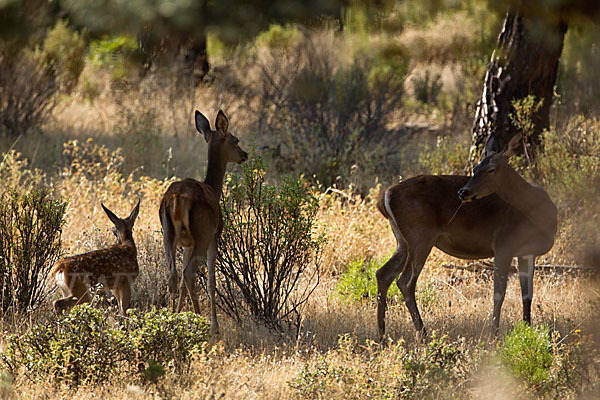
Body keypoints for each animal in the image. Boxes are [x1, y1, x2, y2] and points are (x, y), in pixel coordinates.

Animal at [159, 109, 248, 334]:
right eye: (235, 139)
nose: (244, 154)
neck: (213, 189)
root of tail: (177, 199)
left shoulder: (186, 243)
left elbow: (182, 280)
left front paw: (178, 314)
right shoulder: (214, 236)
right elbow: (211, 281)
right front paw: (214, 325)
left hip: (169, 234)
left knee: (174, 275)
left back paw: (172, 320)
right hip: (203, 234)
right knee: (190, 273)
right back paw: (202, 322)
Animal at [376, 135, 556, 340]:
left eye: (490, 169)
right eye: (475, 168)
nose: (463, 192)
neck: (540, 217)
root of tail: (385, 196)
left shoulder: (527, 252)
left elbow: (527, 295)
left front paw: (527, 329)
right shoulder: (503, 244)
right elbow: (498, 294)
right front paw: (494, 335)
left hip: (403, 240)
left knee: (383, 273)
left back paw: (381, 336)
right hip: (420, 236)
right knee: (405, 281)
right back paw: (422, 334)